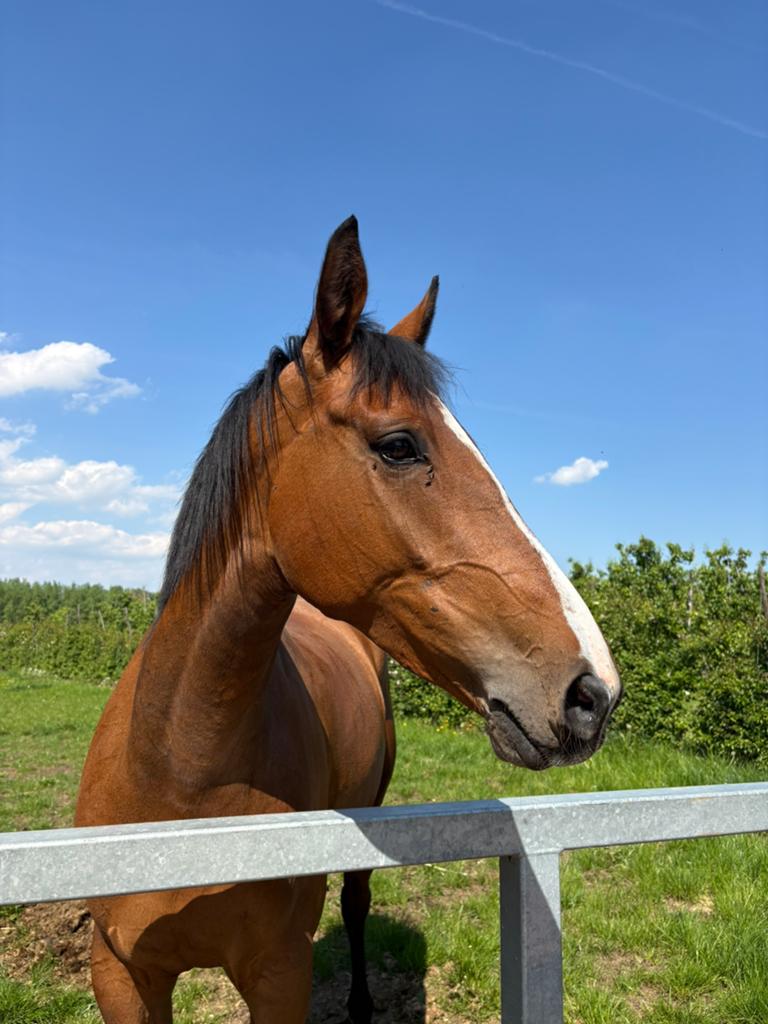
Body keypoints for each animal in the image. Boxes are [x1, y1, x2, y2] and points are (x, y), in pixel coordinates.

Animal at [75, 216, 622, 1024]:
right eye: (399, 445)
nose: (594, 691)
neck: (178, 780)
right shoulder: (120, 974)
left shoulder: (279, 972)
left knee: (358, 904)